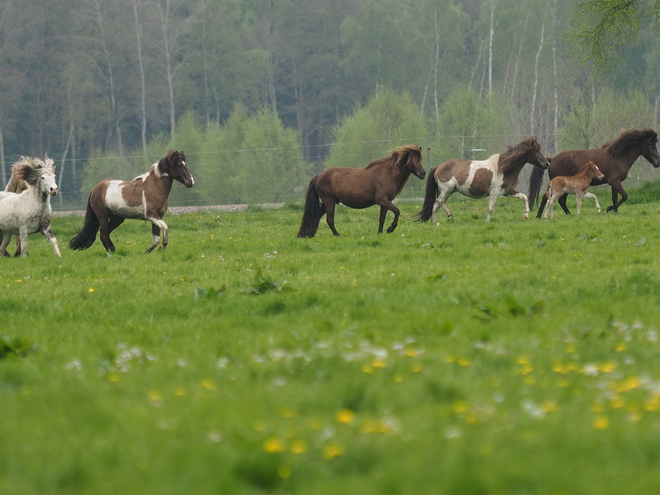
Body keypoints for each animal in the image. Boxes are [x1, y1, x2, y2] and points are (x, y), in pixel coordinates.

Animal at [298, 144, 426, 237]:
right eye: (412, 161)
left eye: (420, 160)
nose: (423, 173)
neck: (387, 174)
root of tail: (319, 175)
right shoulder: (382, 200)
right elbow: (397, 211)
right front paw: (390, 229)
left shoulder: (385, 202)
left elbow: (382, 219)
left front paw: (380, 233)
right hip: (329, 201)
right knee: (329, 219)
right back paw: (337, 234)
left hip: (327, 203)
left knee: (316, 216)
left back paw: (309, 234)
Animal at [418, 135, 552, 222]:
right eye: (536, 151)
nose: (547, 164)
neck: (503, 168)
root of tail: (438, 167)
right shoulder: (494, 192)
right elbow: (490, 208)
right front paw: (487, 222)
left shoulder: (508, 191)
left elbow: (524, 197)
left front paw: (526, 215)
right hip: (447, 189)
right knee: (439, 201)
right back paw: (449, 215)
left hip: (448, 191)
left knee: (435, 205)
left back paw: (435, 223)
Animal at [528, 129, 660, 218]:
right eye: (652, 145)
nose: (657, 163)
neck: (618, 157)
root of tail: (551, 160)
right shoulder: (615, 182)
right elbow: (625, 196)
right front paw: (609, 208)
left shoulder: (614, 184)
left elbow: (615, 197)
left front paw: (615, 211)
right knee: (552, 199)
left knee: (556, 200)